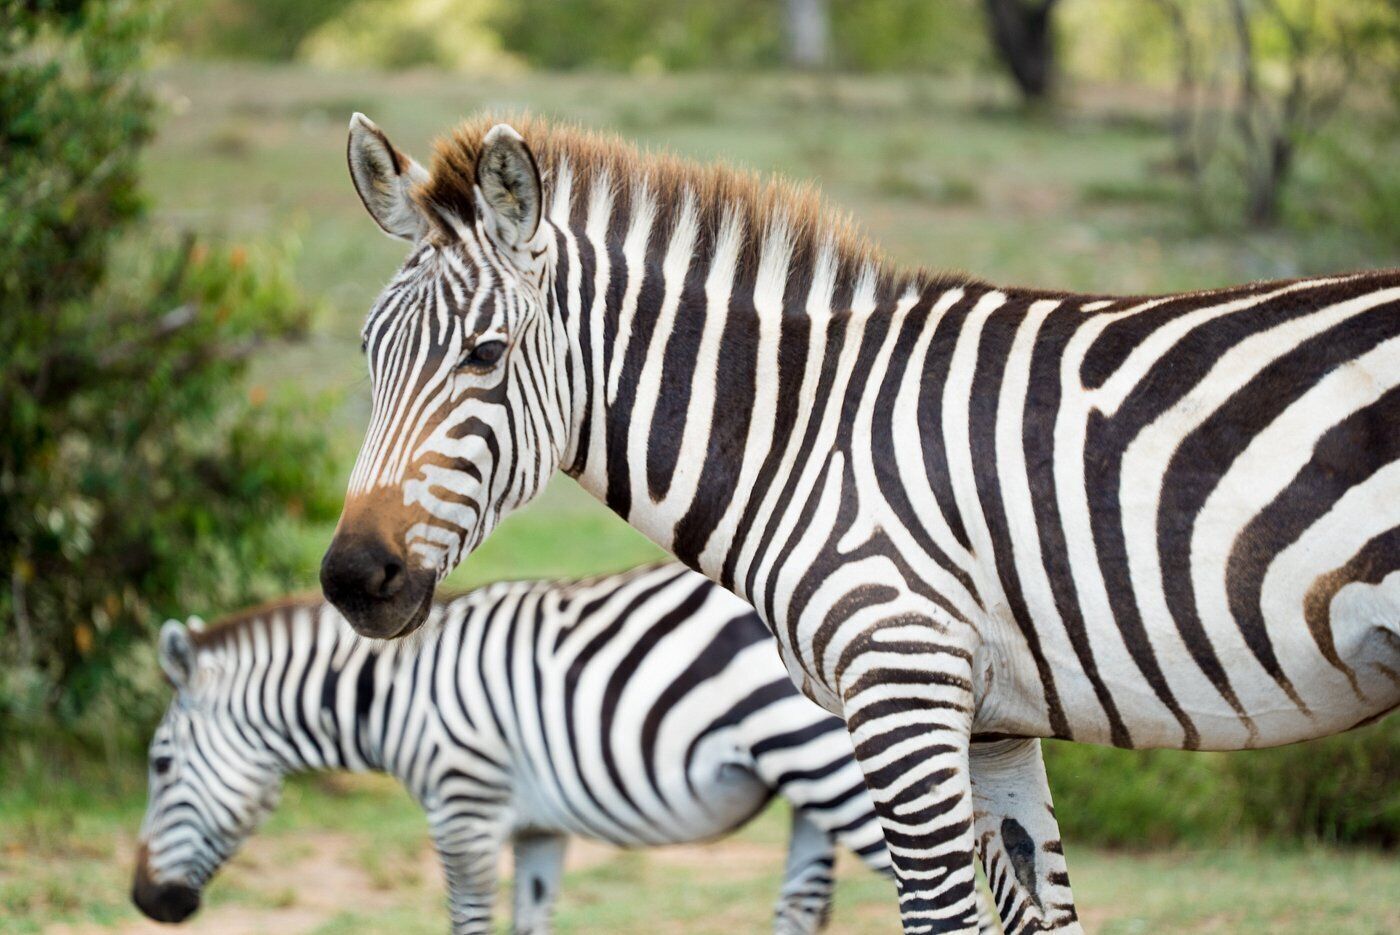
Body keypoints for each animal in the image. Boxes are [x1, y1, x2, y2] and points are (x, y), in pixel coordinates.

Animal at [132, 564, 917, 934]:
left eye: (161, 764)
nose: (144, 901)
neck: (392, 693)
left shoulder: (463, 809)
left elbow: (470, 922)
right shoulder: (541, 828)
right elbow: (530, 922)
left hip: (834, 769)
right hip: (808, 788)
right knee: (800, 907)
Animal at [318, 112, 1400, 934]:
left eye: (485, 354)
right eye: (368, 352)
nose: (350, 578)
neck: (805, 433)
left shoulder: (899, 682)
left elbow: (941, 918)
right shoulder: (994, 718)